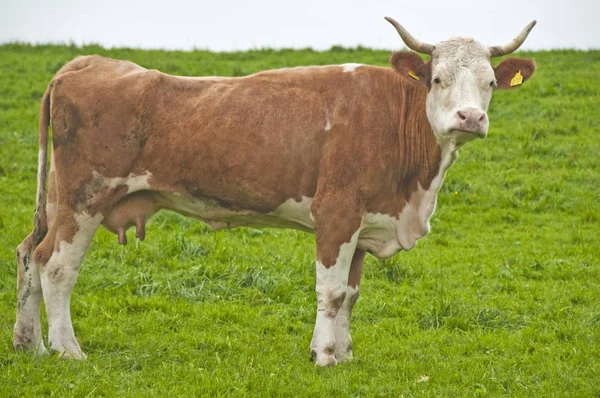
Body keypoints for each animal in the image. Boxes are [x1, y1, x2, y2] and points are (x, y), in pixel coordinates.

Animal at [12, 17, 536, 366]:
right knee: (57, 266)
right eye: (437, 78)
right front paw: (323, 356)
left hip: (57, 198)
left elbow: (351, 293)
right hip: (86, 197)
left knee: (29, 253)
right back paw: (67, 350)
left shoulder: (364, 222)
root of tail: (86, 62)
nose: (471, 117)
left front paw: (344, 355)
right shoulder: (336, 213)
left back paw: (29, 344)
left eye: (491, 82)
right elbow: (330, 291)